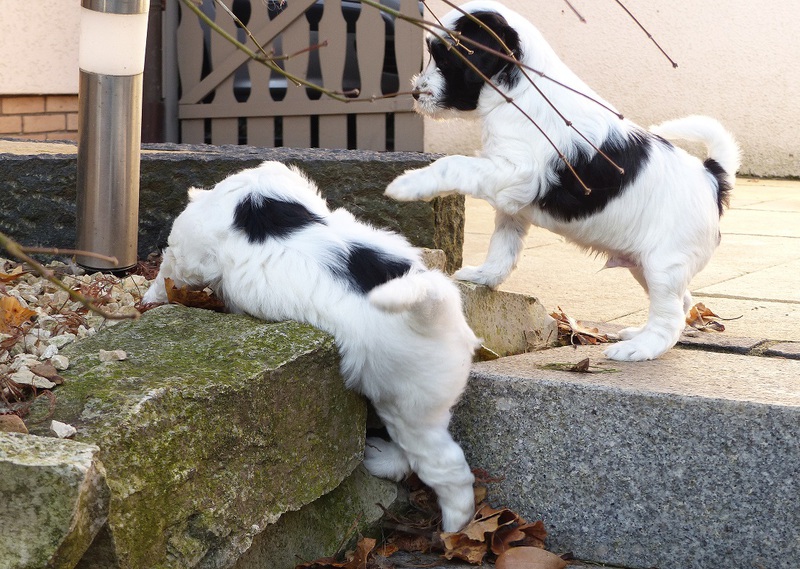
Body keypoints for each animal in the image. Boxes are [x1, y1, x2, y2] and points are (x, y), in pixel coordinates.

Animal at [141, 161, 481, 532]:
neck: (252, 199)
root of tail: (435, 309)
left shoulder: (188, 252)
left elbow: (169, 272)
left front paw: (147, 300)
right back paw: (381, 458)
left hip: (408, 406)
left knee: (445, 467)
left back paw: (453, 529)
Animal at [386, 0, 741, 362]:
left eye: (445, 57)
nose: (414, 92)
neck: (520, 92)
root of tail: (712, 176)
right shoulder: (513, 200)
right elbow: (503, 245)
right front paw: (485, 276)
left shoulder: (518, 173)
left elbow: (452, 163)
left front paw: (408, 184)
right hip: (644, 264)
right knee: (682, 302)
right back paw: (637, 334)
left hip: (664, 263)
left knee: (669, 316)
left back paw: (639, 349)